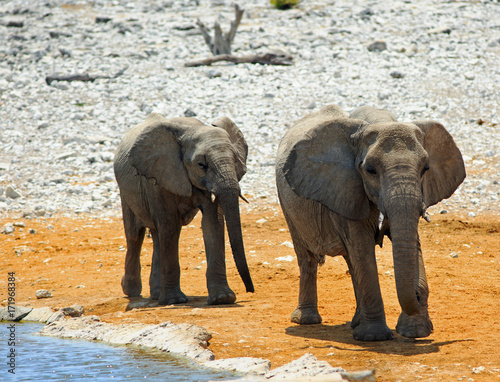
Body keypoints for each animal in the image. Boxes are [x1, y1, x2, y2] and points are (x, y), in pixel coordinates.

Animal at [113, 112, 254, 306]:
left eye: (235, 160)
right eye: (201, 165)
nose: (250, 290)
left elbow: (213, 223)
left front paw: (223, 299)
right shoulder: (159, 177)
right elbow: (170, 226)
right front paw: (175, 300)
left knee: (157, 235)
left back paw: (156, 295)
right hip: (126, 192)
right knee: (135, 236)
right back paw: (132, 291)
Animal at [274, 104, 464, 340]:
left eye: (425, 169)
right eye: (370, 171)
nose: (419, 296)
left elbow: (410, 240)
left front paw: (415, 333)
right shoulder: (346, 186)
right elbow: (362, 247)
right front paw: (374, 337)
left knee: (350, 260)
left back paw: (355, 322)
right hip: (287, 204)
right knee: (307, 257)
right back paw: (306, 320)